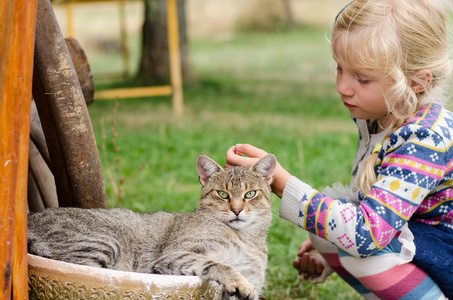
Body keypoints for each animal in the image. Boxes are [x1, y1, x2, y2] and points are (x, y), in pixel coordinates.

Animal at [28, 154, 278, 298]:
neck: (245, 237)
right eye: (222, 194)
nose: (236, 210)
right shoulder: (175, 255)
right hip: (104, 242)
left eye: (250, 194)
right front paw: (238, 281)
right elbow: (219, 265)